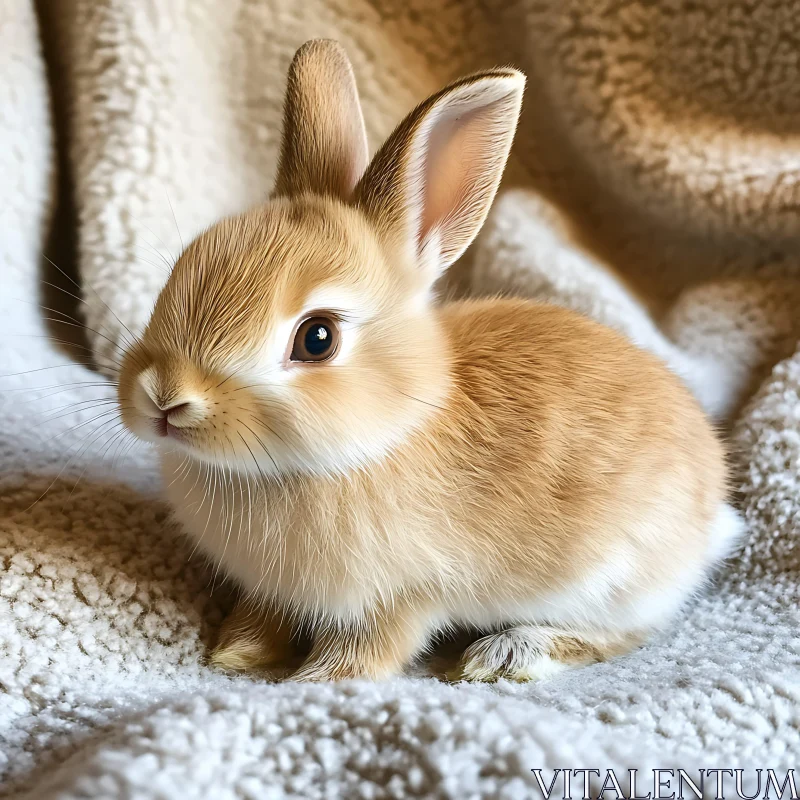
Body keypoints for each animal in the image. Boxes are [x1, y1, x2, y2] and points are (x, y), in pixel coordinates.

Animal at [117, 39, 744, 680]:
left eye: (317, 339)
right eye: (179, 269)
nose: (165, 397)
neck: (394, 424)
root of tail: (710, 511)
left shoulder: (403, 595)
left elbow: (370, 646)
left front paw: (316, 678)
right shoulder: (277, 591)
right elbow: (264, 614)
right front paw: (235, 652)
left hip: (611, 578)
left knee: (625, 633)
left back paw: (507, 655)